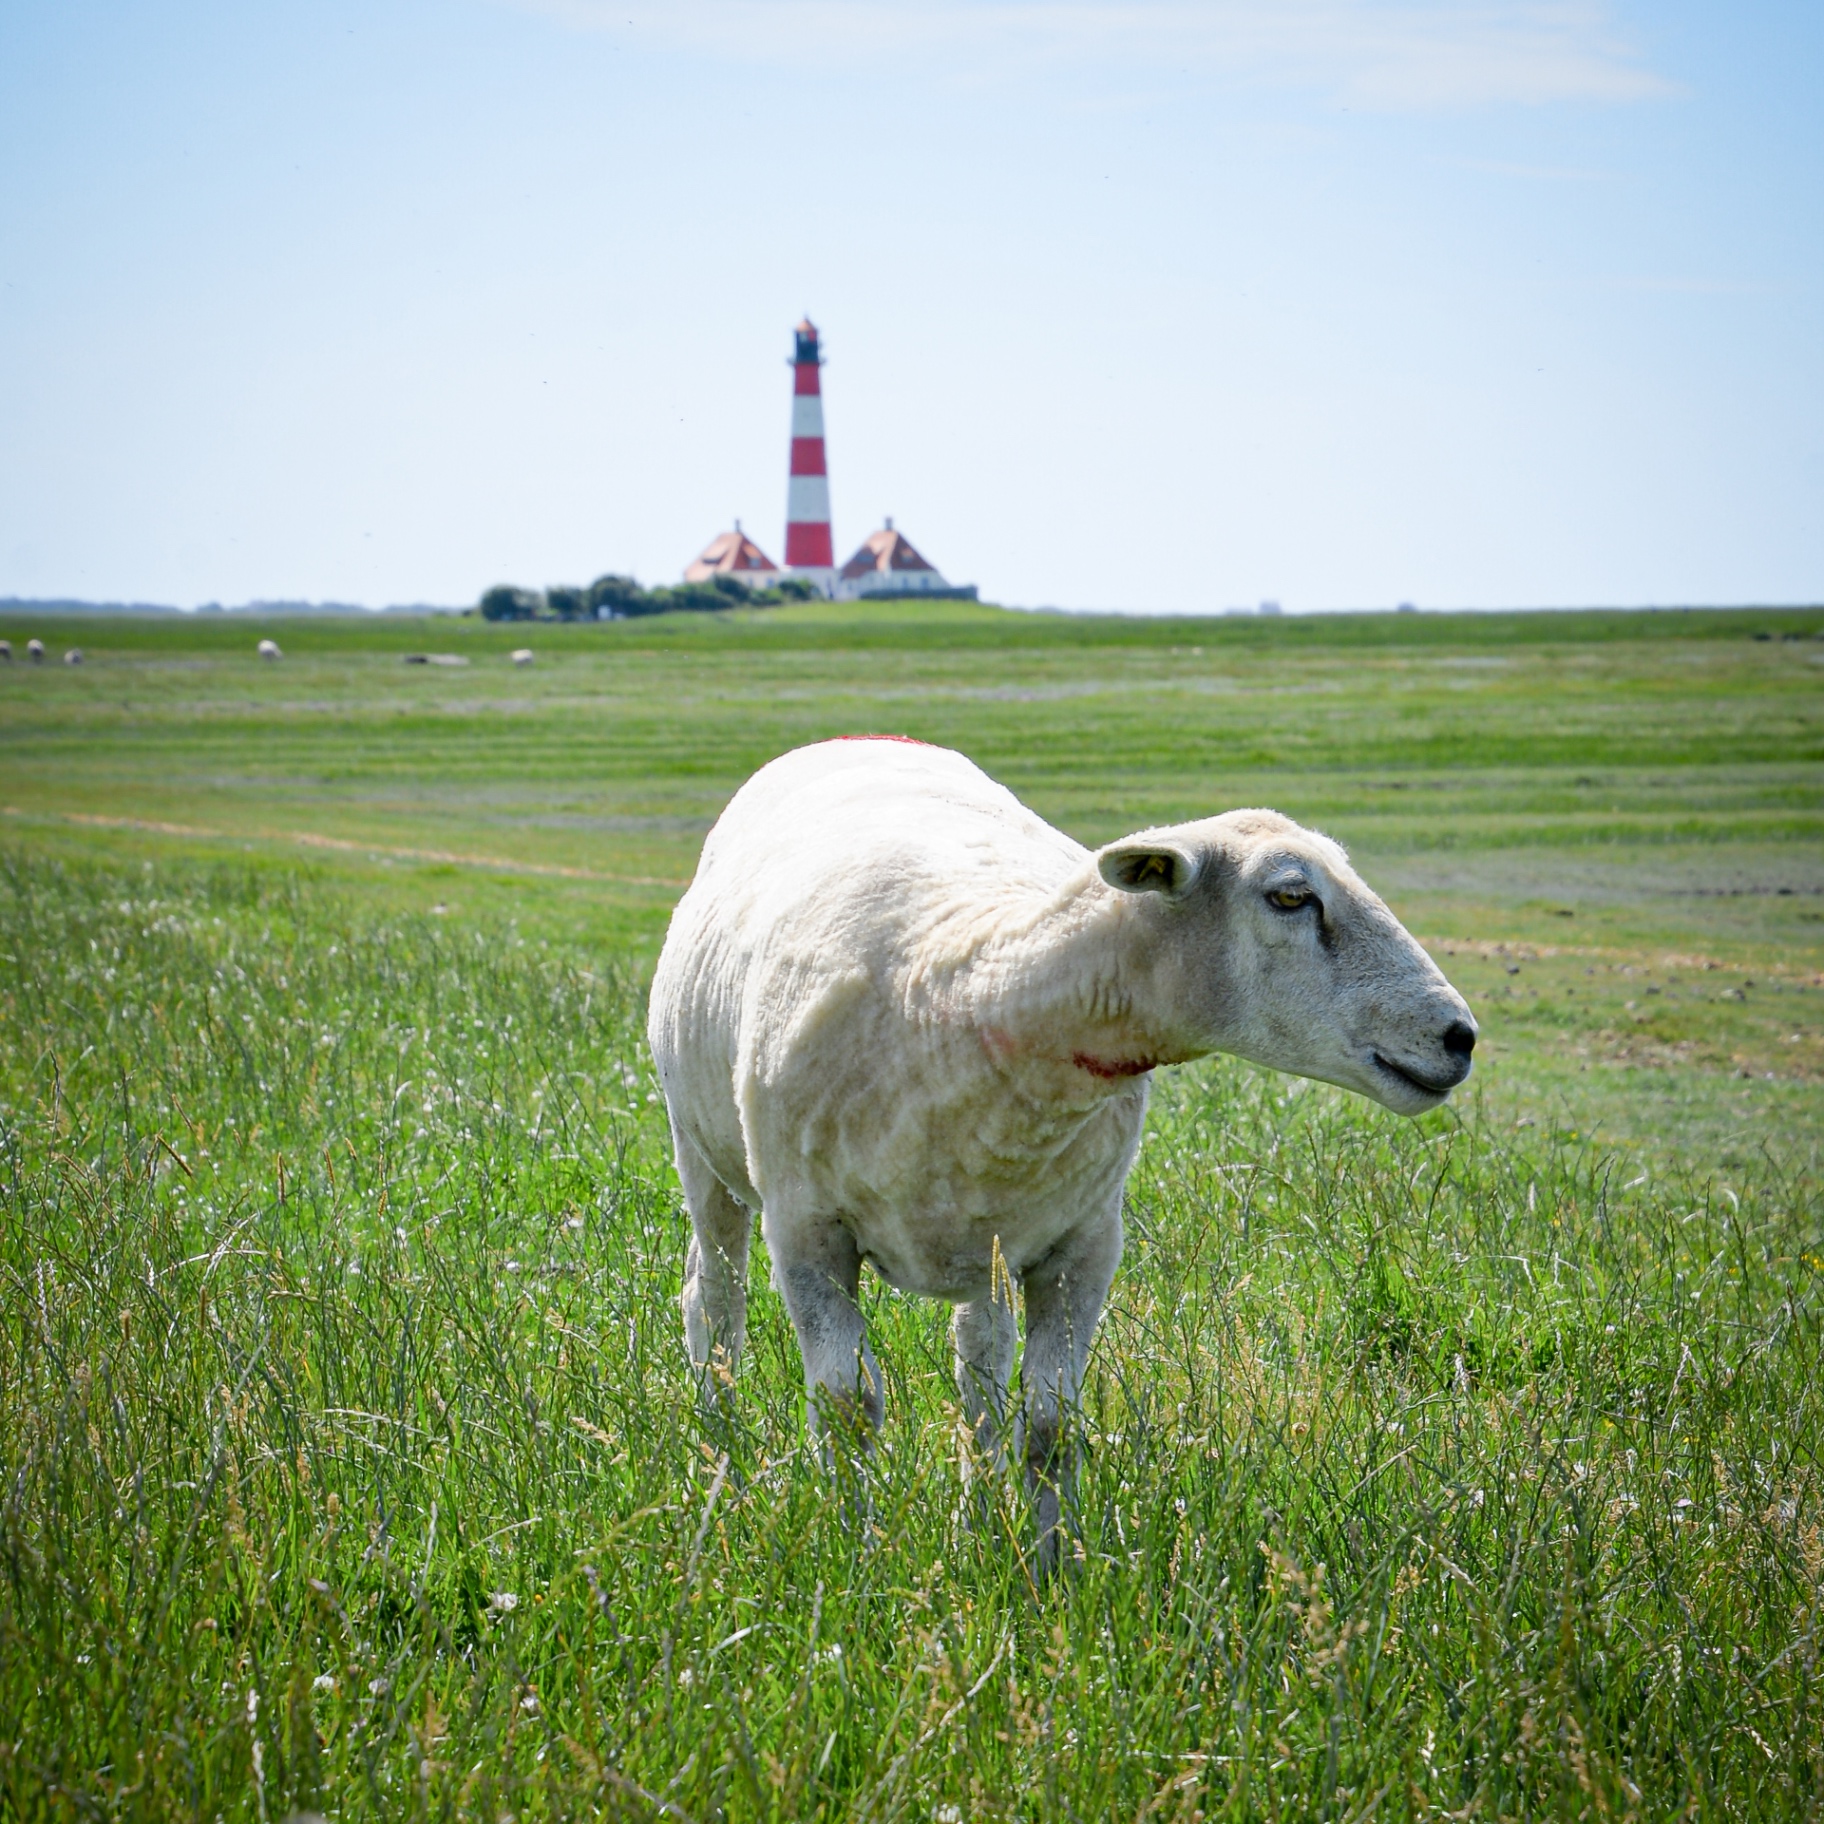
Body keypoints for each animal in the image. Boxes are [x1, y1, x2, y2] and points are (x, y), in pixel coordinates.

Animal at [648, 738, 1476, 1563]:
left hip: (983, 1226)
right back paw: (720, 1465)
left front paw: (1053, 1567)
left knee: (979, 1360)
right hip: (703, 1151)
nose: (1459, 1036)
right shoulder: (808, 1231)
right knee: (713, 1303)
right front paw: (859, 1558)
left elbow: (1050, 1424)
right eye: (1290, 896)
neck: (971, 987)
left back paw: (978, 1517)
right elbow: (848, 1406)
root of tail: (857, 739)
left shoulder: (1084, 1243)